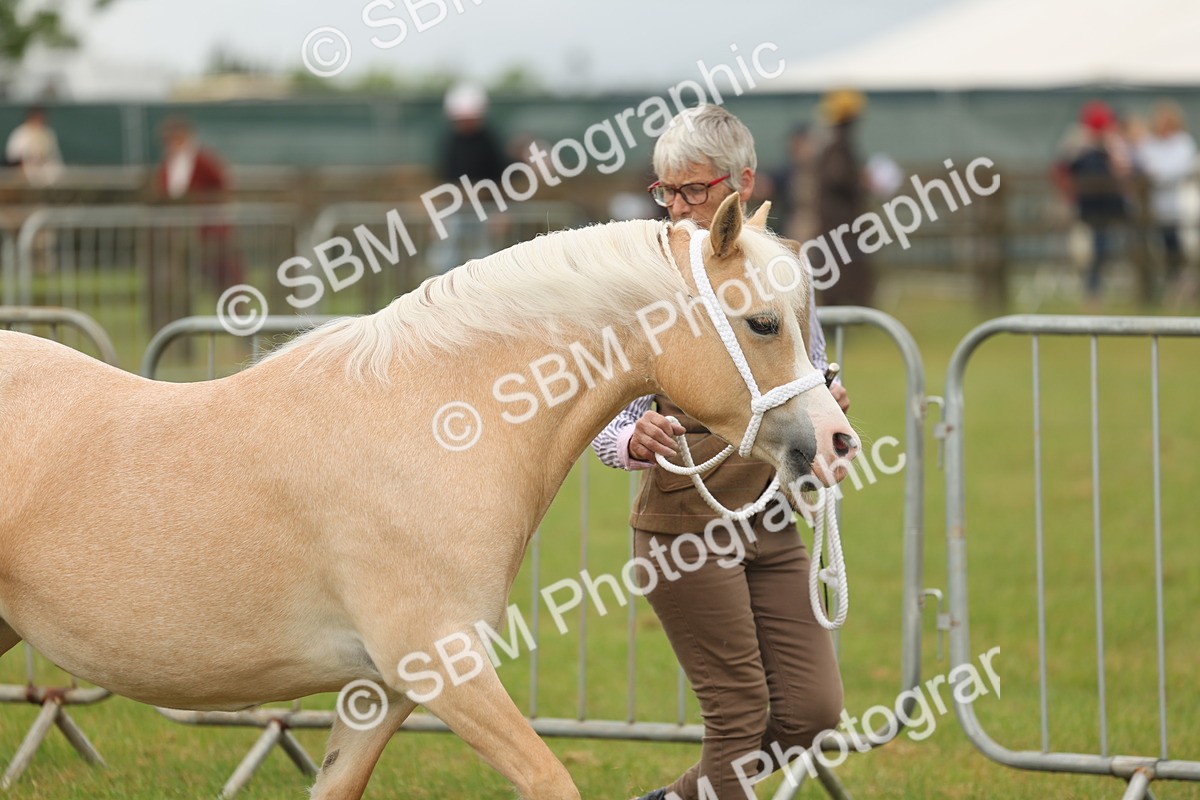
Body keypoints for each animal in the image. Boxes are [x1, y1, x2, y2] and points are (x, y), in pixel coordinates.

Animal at [0, 194, 857, 799]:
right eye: (763, 323)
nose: (837, 444)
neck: (435, 425)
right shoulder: (446, 669)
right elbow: (550, 780)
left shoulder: (379, 693)